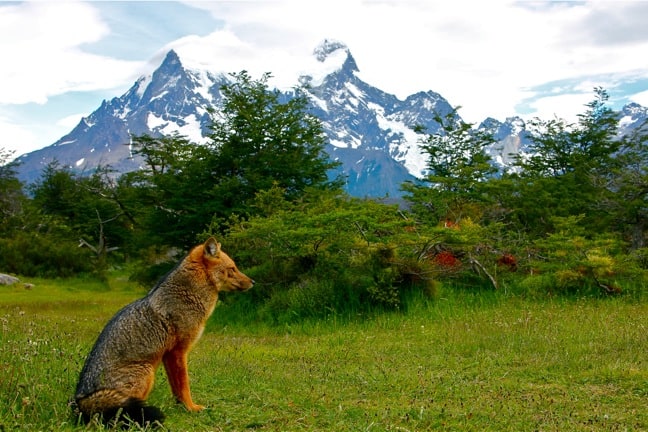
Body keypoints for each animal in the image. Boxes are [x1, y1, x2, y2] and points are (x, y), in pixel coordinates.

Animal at [71, 238, 253, 426]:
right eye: (233, 268)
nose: (253, 281)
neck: (187, 294)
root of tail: (80, 401)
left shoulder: (168, 356)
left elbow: (176, 388)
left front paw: (181, 407)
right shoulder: (178, 352)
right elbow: (184, 386)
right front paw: (191, 408)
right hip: (146, 372)